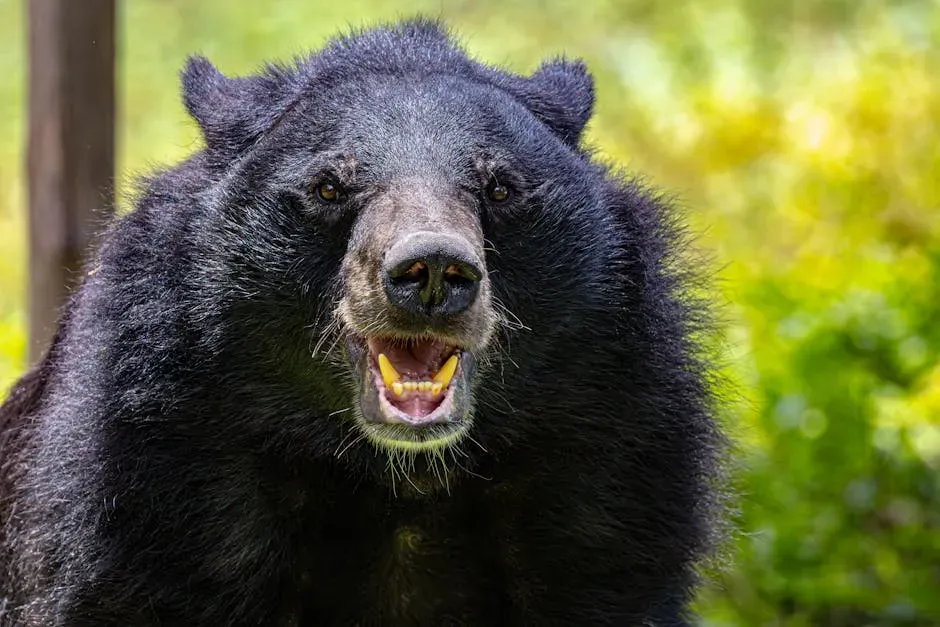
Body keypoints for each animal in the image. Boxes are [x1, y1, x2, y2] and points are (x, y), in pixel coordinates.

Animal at [0, 18, 725, 627]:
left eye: (499, 187)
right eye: (328, 186)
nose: (431, 271)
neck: (397, 478)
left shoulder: (608, 475)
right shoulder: (155, 481)